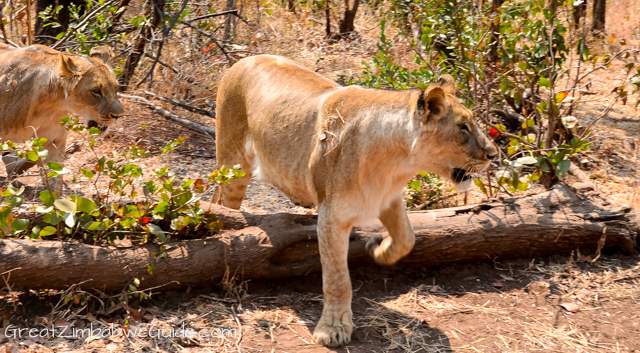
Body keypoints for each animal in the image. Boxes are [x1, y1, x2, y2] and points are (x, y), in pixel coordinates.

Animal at [0, 44, 124, 195]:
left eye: (116, 87)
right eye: (96, 91)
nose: (119, 115)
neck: (53, 104)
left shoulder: (52, 141)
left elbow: (55, 183)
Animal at [216, 55, 500, 346]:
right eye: (463, 127)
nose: (493, 153)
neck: (398, 162)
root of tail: (245, 58)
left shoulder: (387, 198)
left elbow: (407, 238)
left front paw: (378, 250)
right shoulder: (331, 218)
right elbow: (338, 279)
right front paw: (333, 328)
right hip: (233, 163)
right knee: (223, 200)